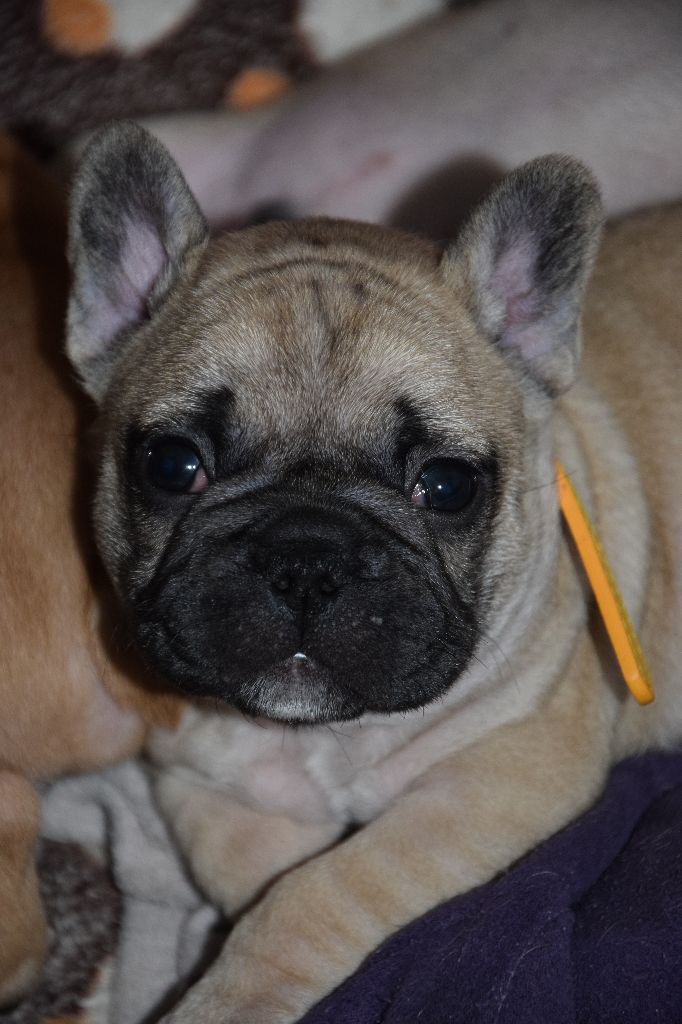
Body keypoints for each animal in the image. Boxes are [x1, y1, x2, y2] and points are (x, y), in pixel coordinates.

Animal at [60, 122, 681, 1022]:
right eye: (174, 465)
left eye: (447, 486)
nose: (305, 556)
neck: (327, 739)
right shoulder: (197, 778)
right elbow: (254, 867)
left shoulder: (500, 775)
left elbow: (317, 892)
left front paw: (227, 994)